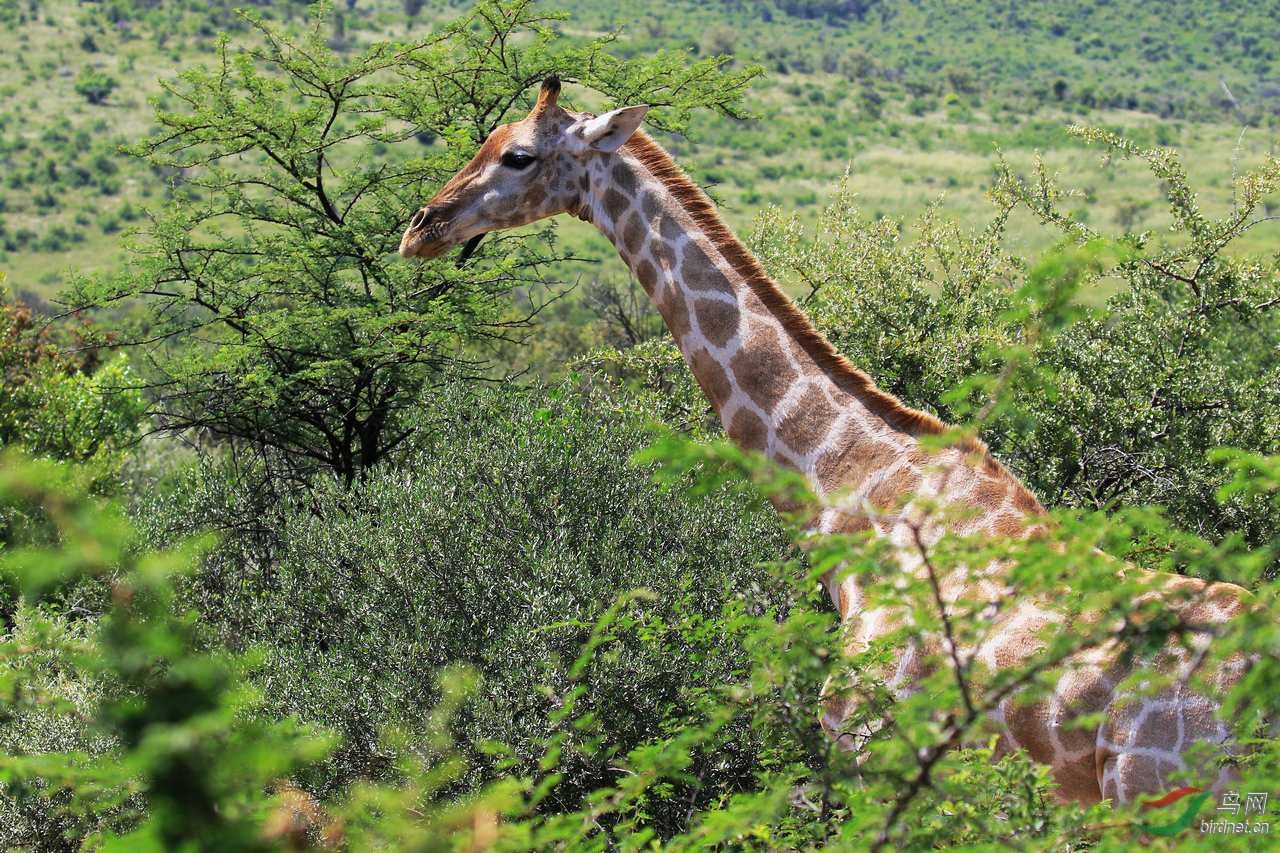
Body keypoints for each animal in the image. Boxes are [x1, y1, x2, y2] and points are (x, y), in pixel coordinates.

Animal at [399, 78, 1249, 804]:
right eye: (485, 138)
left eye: (518, 154)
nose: (420, 228)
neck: (850, 492)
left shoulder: (871, 745)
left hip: (1155, 796)